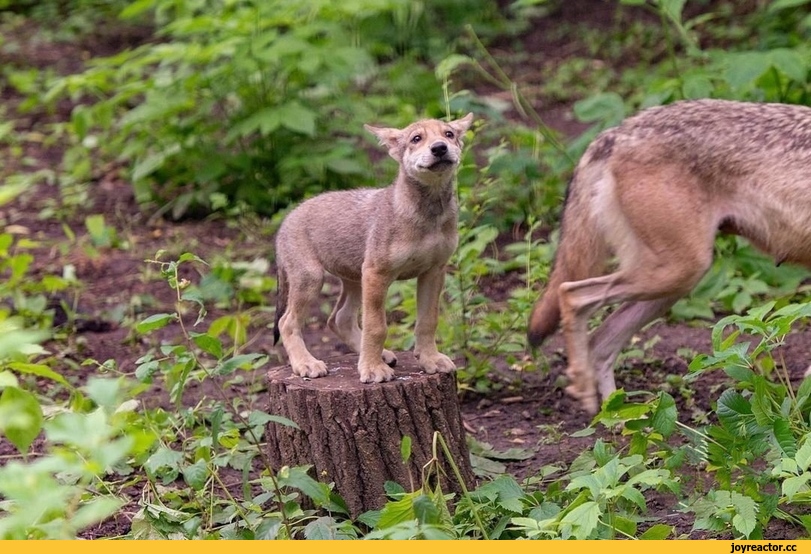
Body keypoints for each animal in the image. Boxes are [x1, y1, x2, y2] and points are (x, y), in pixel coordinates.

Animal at [528, 98, 811, 410]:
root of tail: (619, 131)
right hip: (676, 274)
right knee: (571, 295)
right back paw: (589, 396)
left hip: (670, 285)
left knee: (599, 341)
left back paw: (620, 416)